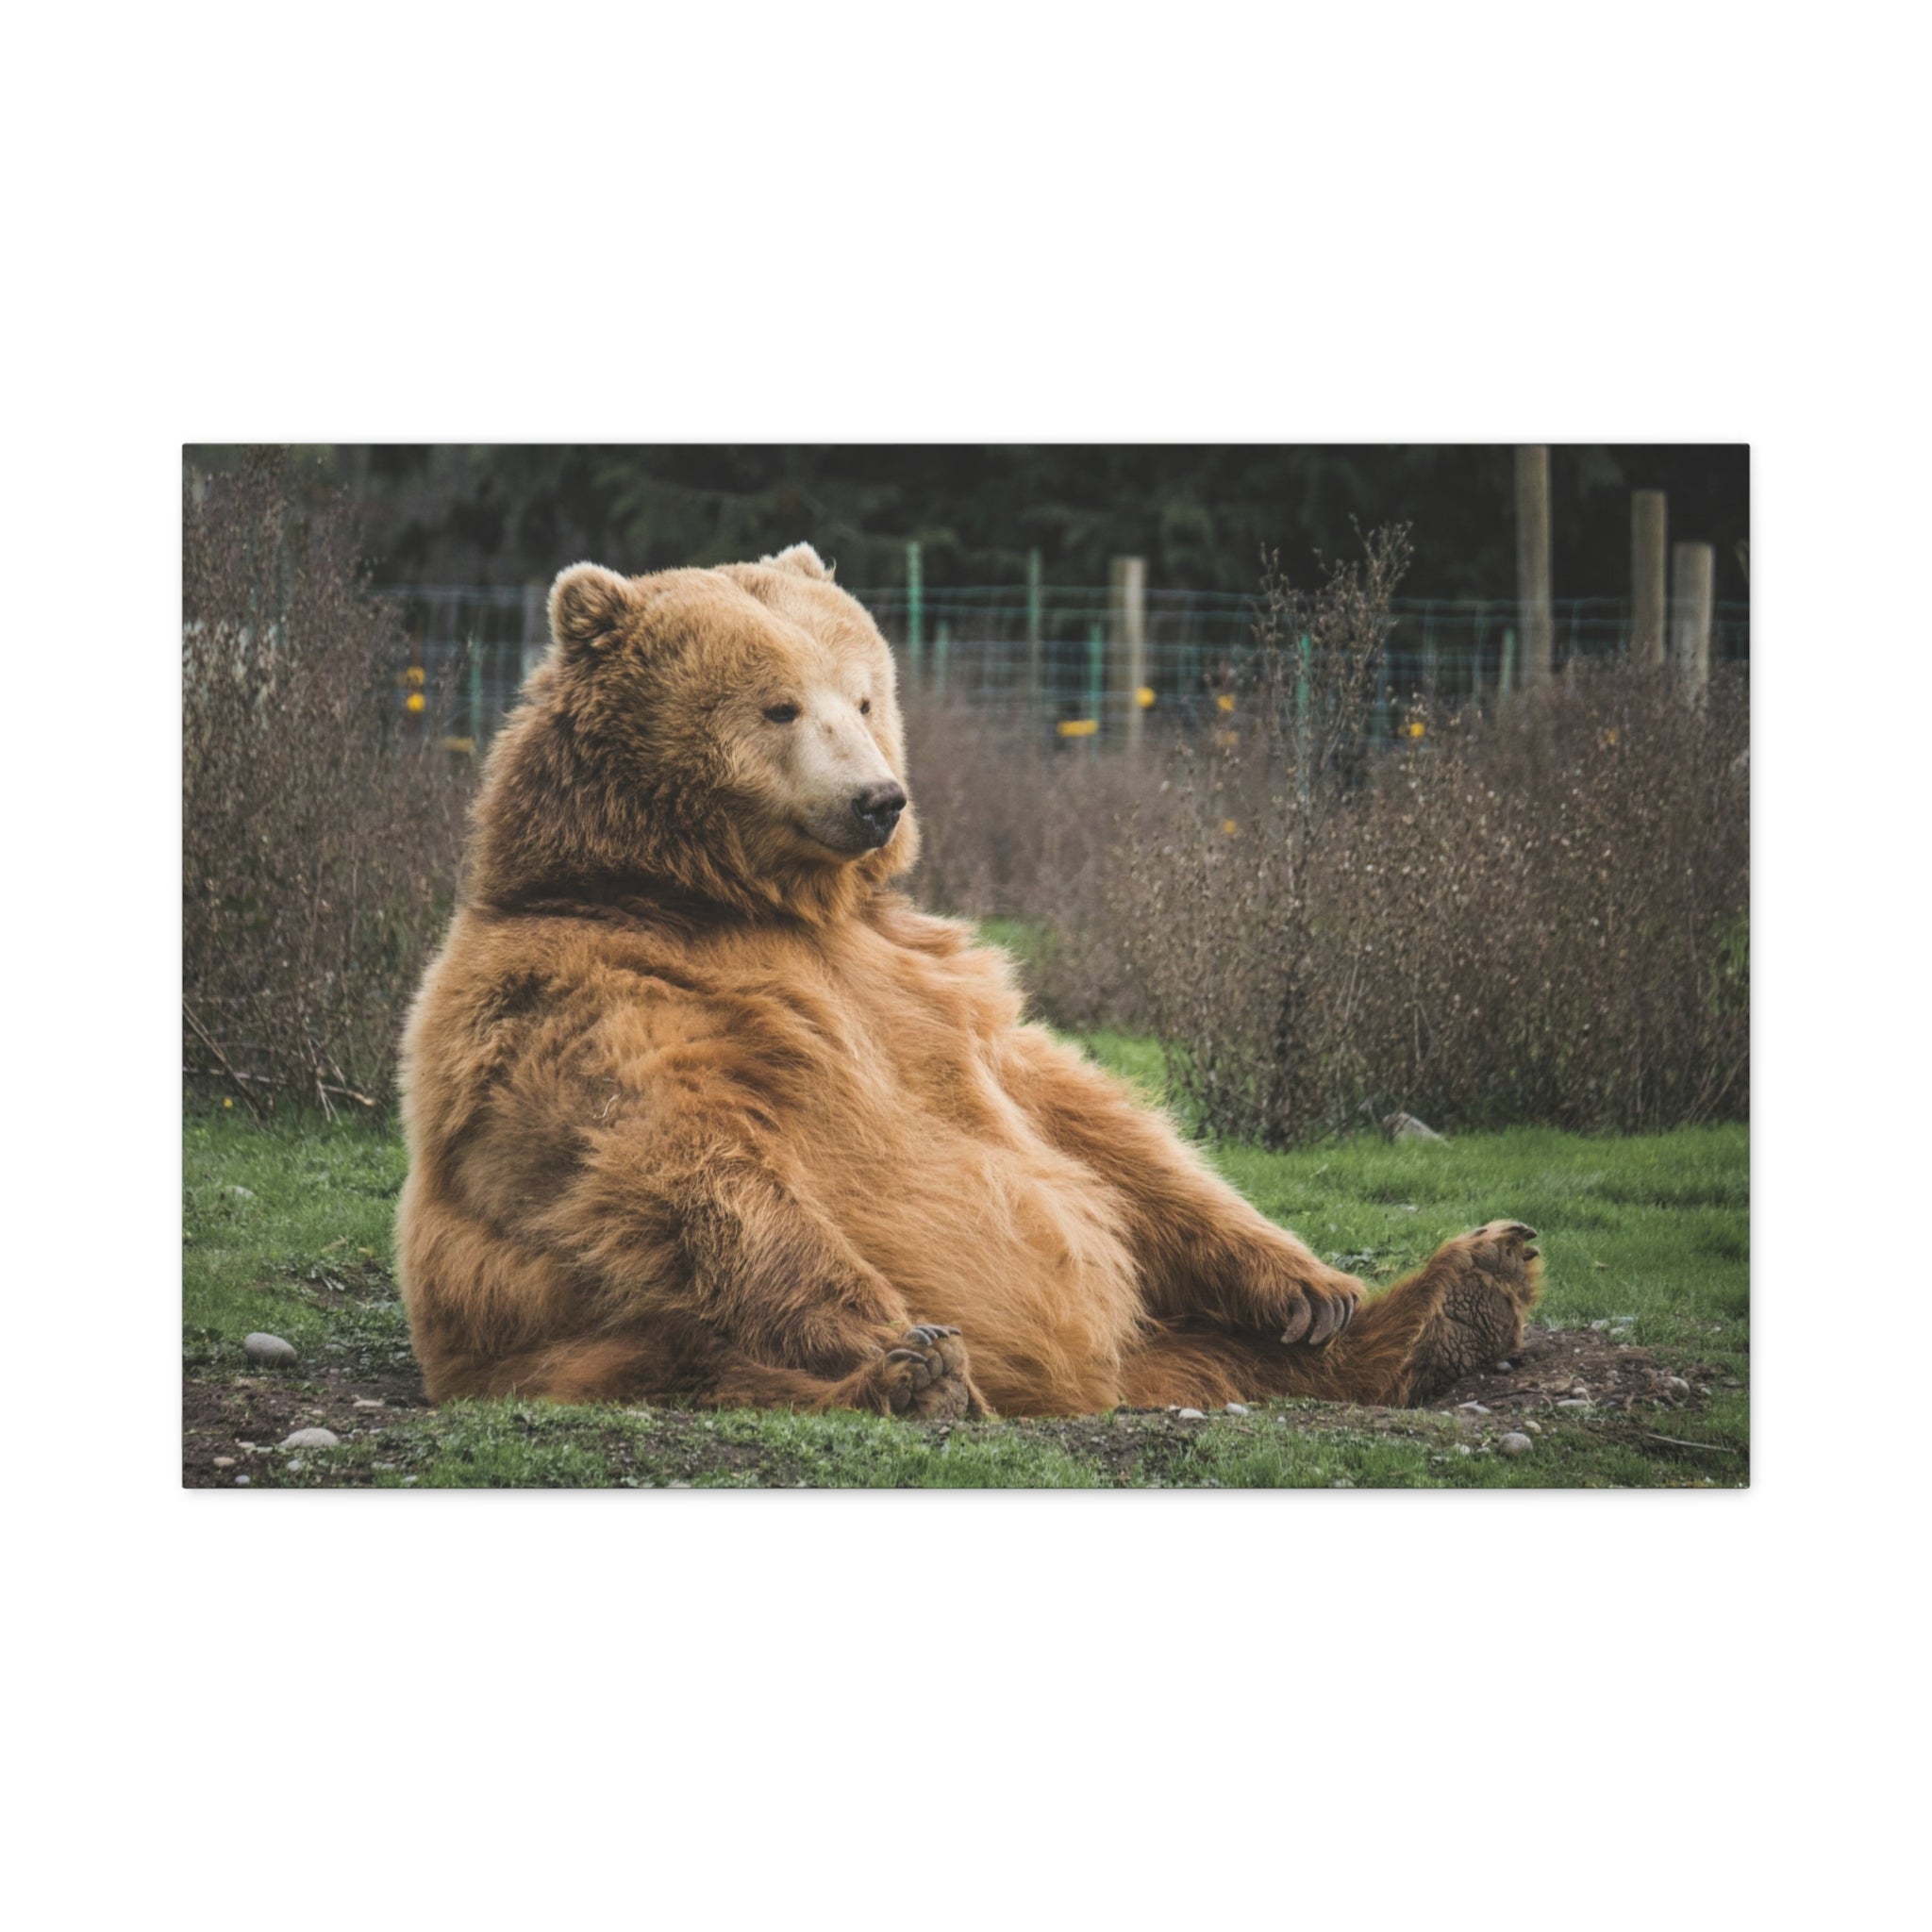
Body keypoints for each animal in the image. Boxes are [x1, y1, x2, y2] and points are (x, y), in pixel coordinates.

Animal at [395, 543, 1541, 1419]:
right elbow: (678, 1157)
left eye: (864, 694)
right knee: (706, 1360)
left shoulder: (926, 978)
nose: (877, 798)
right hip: (576, 1340)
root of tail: (1090, 1388)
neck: (731, 898)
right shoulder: (586, 992)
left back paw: (1460, 1293)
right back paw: (916, 1379)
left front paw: (1309, 1285)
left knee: (1228, 1351)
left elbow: (1086, 1118)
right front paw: (894, 1333)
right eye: (777, 707)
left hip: (1161, 1336)